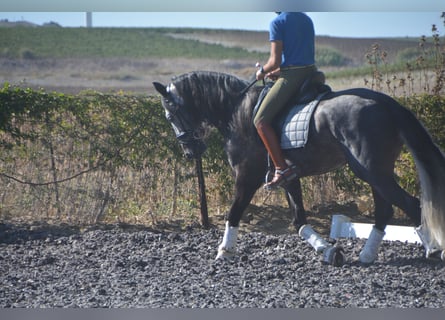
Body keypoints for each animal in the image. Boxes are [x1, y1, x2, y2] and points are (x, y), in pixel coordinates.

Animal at [153, 70, 444, 264]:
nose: (190, 152)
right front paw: (328, 250)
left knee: (411, 204)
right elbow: (299, 221)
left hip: (371, 170)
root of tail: (385, 103)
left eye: (170, 115)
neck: (236, 110)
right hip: (375, 171)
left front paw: (224, 250)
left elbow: (234, 213)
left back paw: (433, 250)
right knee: (385, 209)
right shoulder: (288, 177)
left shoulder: (247, 176)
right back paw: (367, 255)